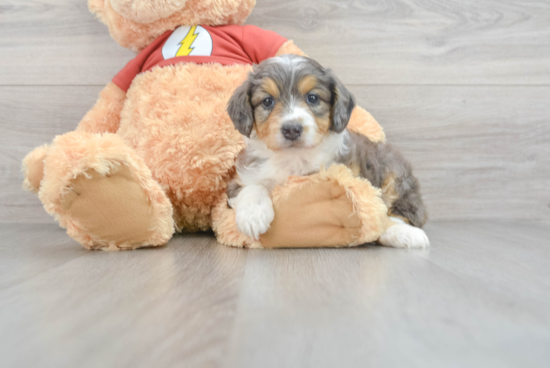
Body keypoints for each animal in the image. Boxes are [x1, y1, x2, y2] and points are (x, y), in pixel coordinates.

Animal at [226, 54, 430, 249]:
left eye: (313, 98)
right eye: (267, 101)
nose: (292, 129)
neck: (294, 158)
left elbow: (375, 216)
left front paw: (403, 233)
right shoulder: (239, 178)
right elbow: (252, 186)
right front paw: (253, 215)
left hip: (394, 173)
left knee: (409, 212)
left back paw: (403, 228)